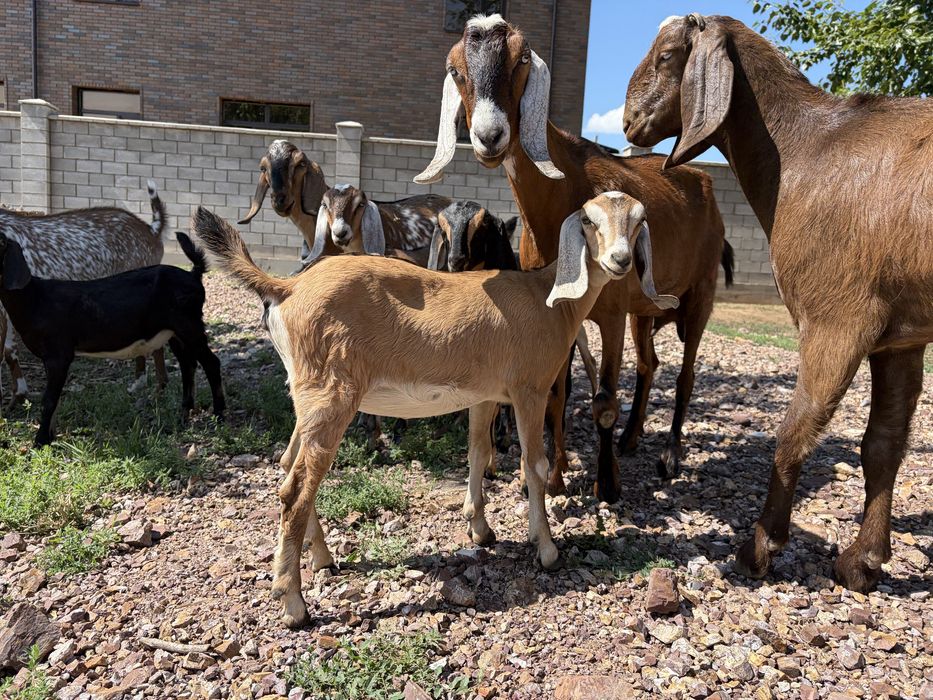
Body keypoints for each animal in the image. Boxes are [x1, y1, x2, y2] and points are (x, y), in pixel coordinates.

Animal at [0, 231, 225, 447]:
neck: (34, 300)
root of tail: (194, 275)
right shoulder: (51, 358)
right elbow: (54, 398)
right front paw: (50, 437)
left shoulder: (59, 354)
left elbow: (49, 400)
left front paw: (39, 441)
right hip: (174, 332)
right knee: (188, 365)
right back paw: (184, 415)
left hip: (189, 325)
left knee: (211, 363)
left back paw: (219, 416)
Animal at [193, 193, 675, 627]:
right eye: (590, 220)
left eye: (638, 221)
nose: (619, 260)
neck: (546, 299)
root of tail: (287, 288)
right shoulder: (529, 390)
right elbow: (533, 466)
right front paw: (547, 549)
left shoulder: (484, 394)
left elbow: (479, 454)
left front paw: (481, 529)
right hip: (331, 395)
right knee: (295, 487)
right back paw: (294, 605)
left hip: (308, 396)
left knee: (288, 467)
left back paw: (324, 559)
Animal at [416, 14, 732, 501]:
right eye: (455, 70)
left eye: (522, 60)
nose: (490, 136)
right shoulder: (556, 309)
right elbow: (557, 392)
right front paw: (554, 477)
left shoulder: (612, 313)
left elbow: (602, 400)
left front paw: (607, 484)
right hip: (646, 308)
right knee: (649, 364)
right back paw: (631, 438)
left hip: (700, 292)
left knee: (685, 375)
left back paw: (669, 456)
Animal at [624, 13, 933, 592]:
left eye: (668, 54)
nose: (629, 119)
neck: (808, 150)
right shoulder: (899, 338)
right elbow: (882, 443)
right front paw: (862, 562)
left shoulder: (837, 318)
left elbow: (795, 430)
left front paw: (759, 549)